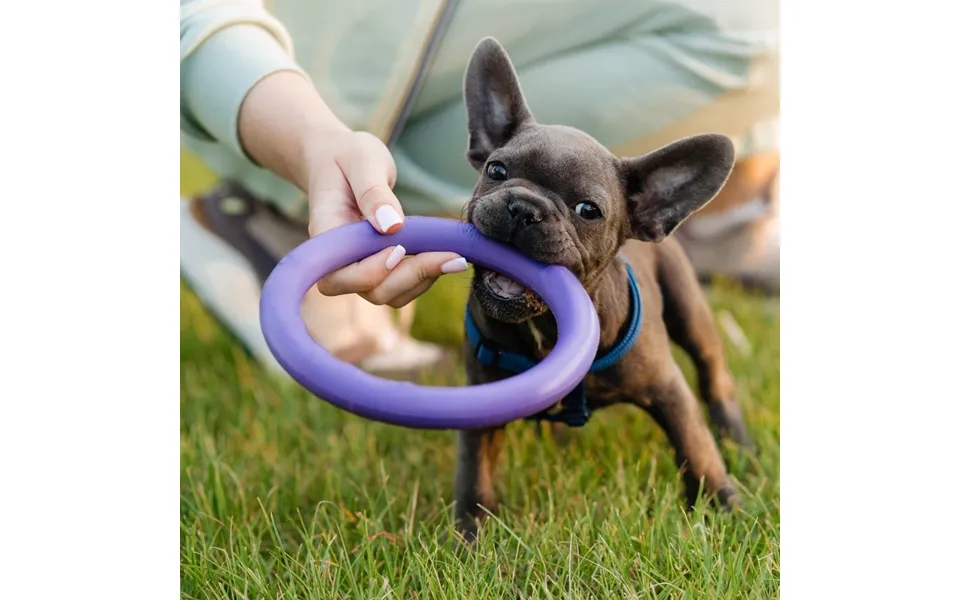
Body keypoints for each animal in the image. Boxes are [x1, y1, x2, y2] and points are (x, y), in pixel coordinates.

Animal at [454, 38, 752, 544]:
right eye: (496, 170)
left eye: (587, 210)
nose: (524, 207)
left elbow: (696, 448)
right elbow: (476, 470)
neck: (545, 327)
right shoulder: (481, 403)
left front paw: (723, 506)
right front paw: (470, 534)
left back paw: (739, 441)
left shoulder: (667, 390)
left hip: (689, 310)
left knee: (715, 374)